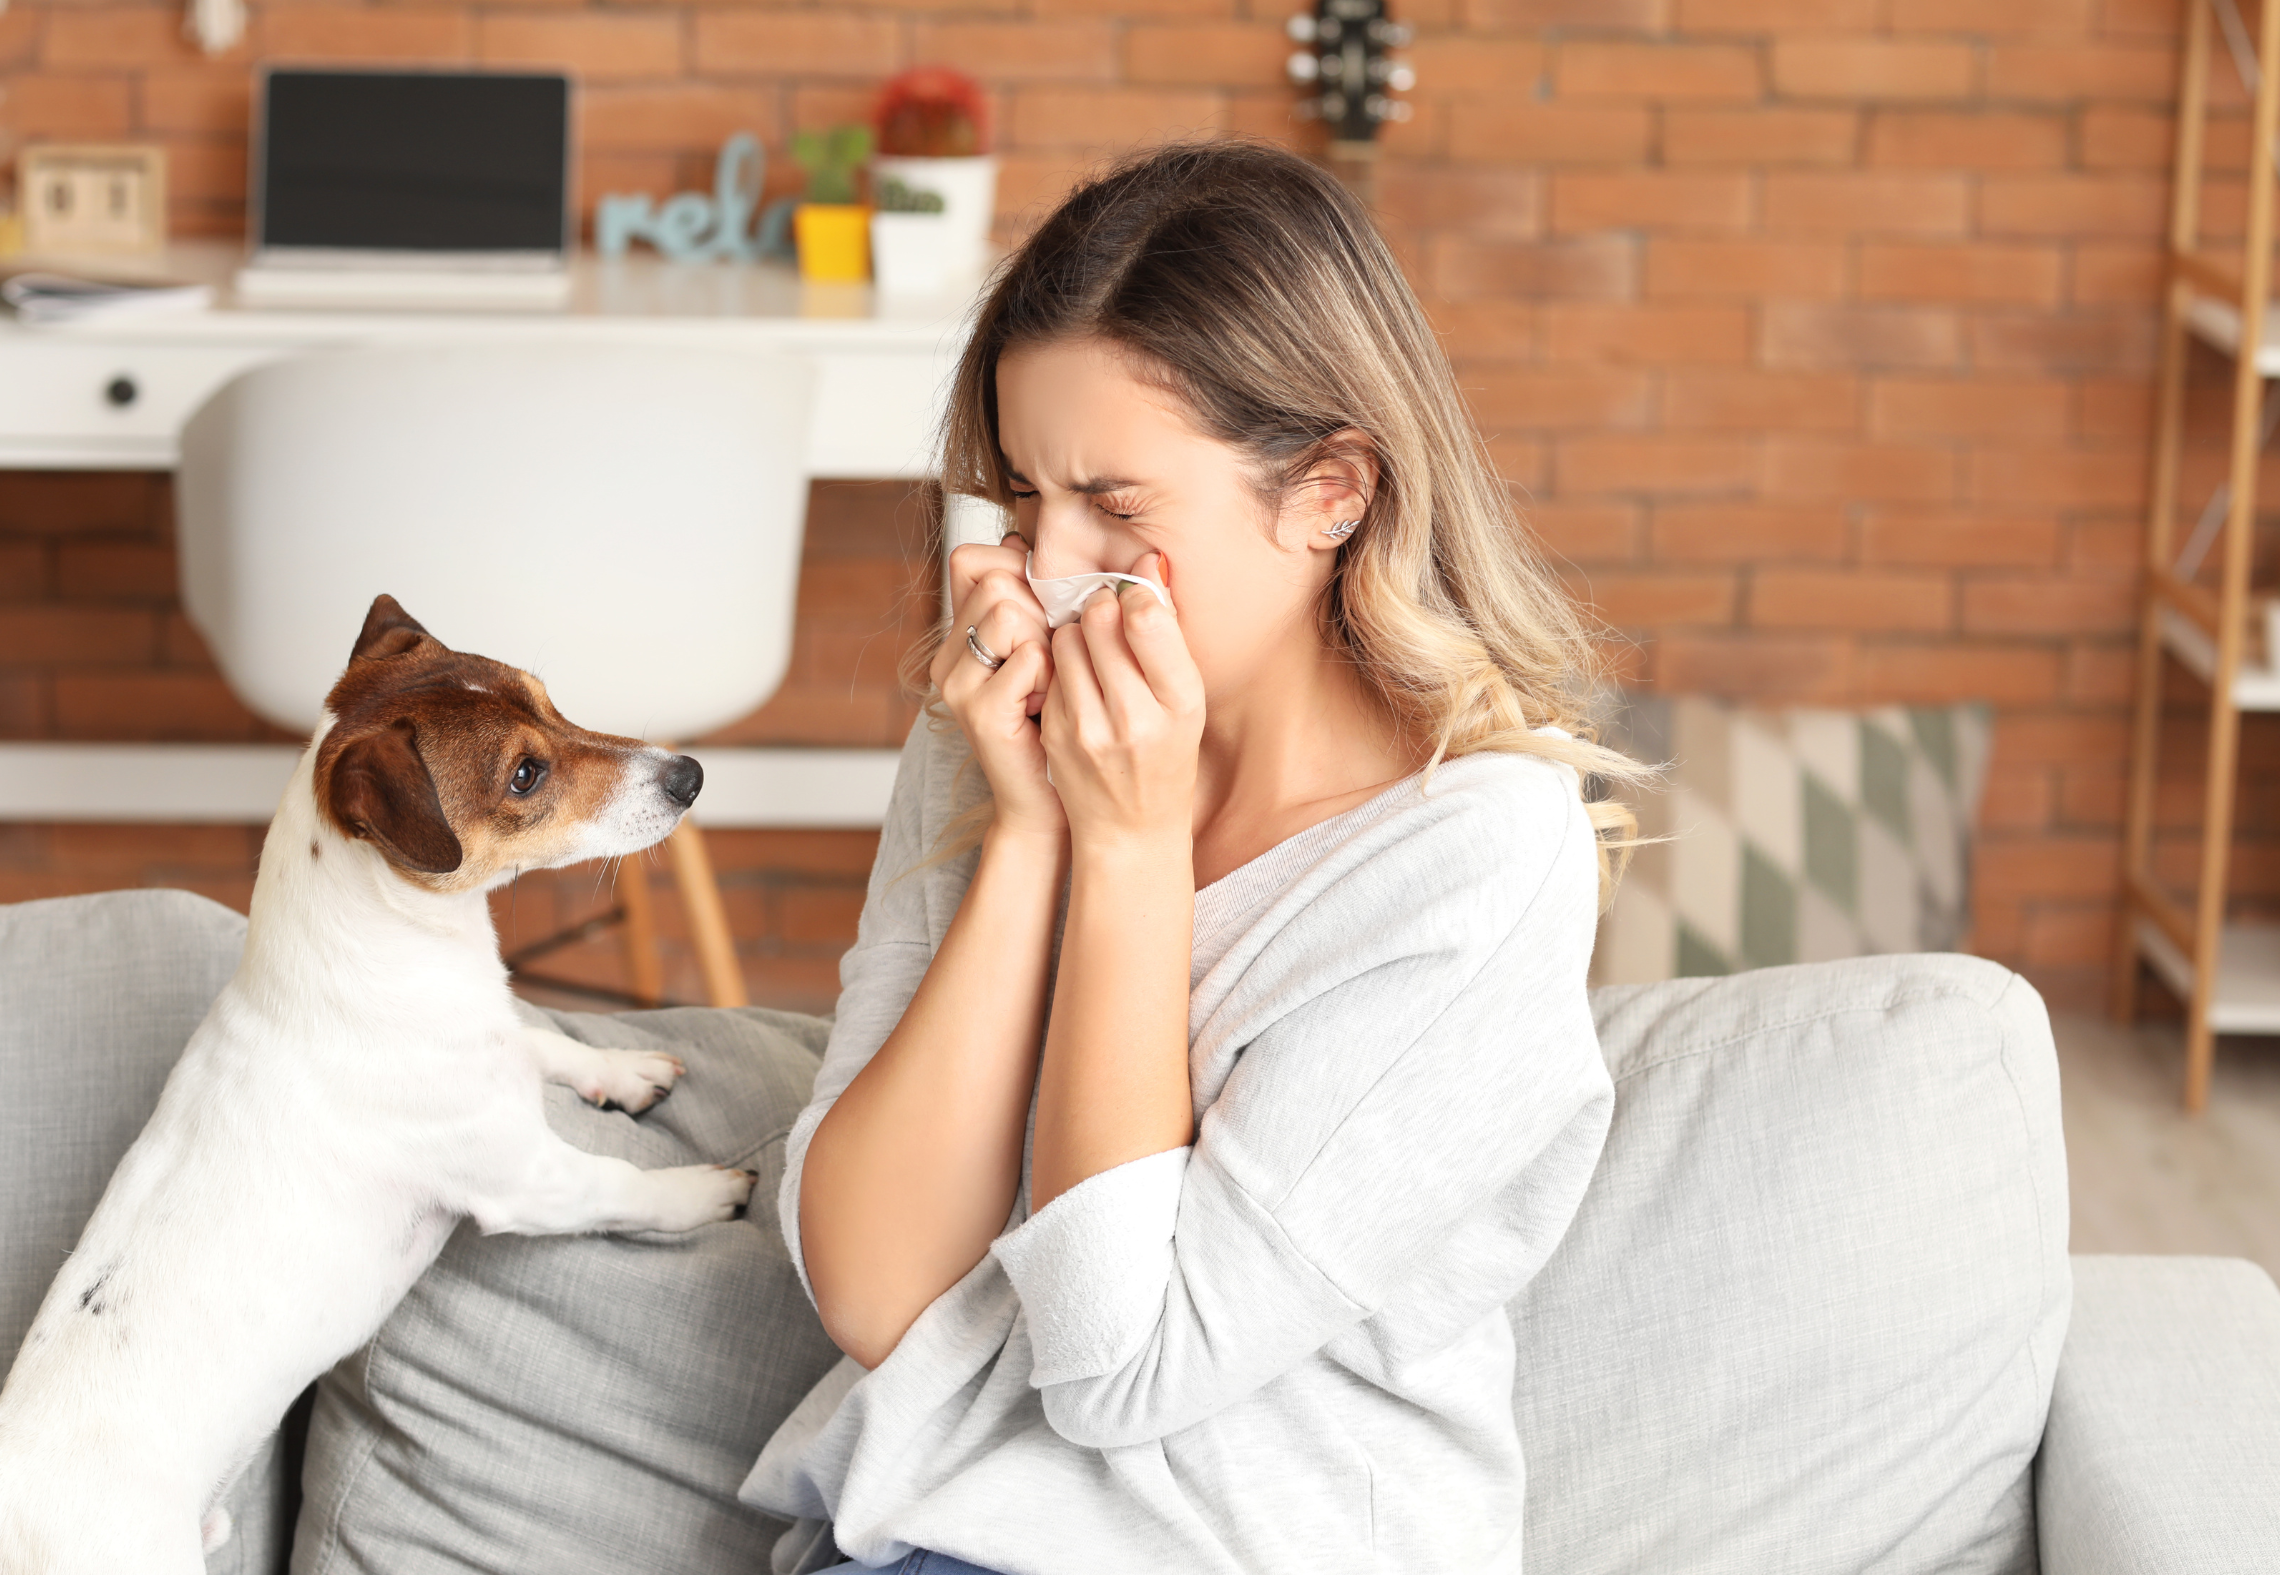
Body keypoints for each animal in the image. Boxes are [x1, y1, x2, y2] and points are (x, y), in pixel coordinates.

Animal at [0, 595, 756, 1573]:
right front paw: (707, 1189)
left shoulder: (499, 1041)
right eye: (525, 774)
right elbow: (626, 1185)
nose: (690, 774)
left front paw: (622, 1068)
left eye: (551, 701)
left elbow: (540, 1038)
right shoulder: (527, 1181)